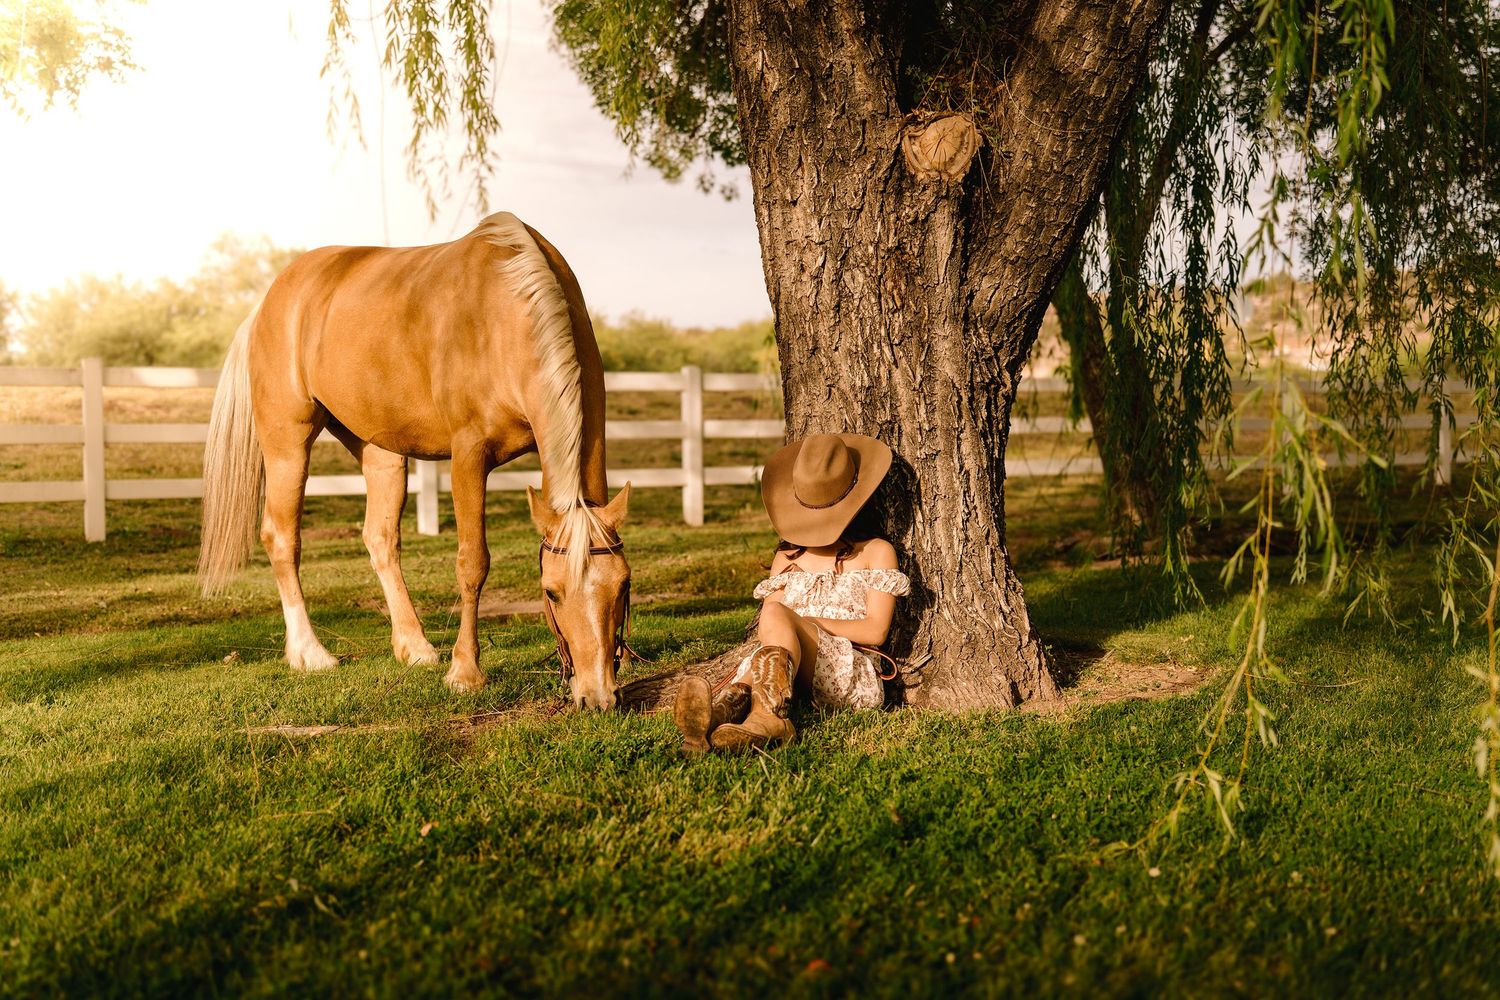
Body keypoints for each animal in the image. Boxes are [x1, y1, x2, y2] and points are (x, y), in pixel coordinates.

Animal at [196, 212, 632, 710]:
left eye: (623, 585)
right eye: (551, 593)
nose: (598, 696)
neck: (505, 311)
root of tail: (266, 305)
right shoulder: (469, 455)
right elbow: (472, 562)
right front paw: (465, 672)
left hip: (379, 450)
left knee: (380, 539)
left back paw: (415, 647)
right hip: (288, 441)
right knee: (282, 537)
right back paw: (310, 654)